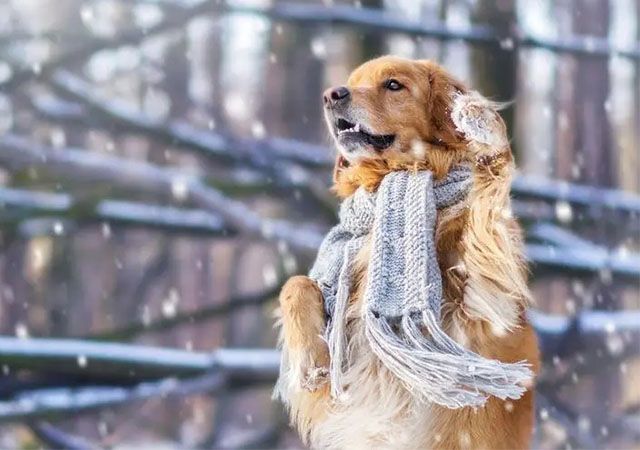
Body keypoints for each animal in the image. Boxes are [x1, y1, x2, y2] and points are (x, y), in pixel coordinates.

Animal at [272, 56, 536, 450]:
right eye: (352, 81)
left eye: (393, 85)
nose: (332, 95)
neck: (397, 175)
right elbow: (296, 283)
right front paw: (310, 358)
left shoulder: (484, 301)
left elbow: (487, 201)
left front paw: (479, 121)